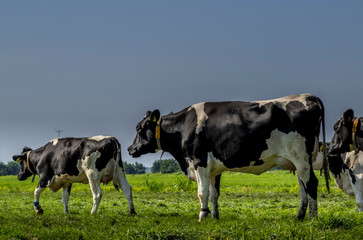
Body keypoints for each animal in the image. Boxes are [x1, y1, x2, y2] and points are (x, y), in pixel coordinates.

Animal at [129, 93, 330, 220]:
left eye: (140, 128)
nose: (130, 149)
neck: (184, 127)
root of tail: (307, 96)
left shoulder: (199, 161)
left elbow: (202, 192)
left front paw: (202, 216)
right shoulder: (213, 168)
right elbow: (214, 194)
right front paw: (214, 216)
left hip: (301, 157)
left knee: (311, 184)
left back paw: (312, 218)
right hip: (299, 161)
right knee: (303, 187)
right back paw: (299, 217)